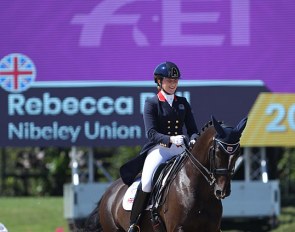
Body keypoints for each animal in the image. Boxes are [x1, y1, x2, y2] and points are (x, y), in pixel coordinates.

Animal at [82, 116, 249, 232]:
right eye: (217, 152)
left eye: (237, 153)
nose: (222, 191)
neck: (197, 187)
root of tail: (109, 192)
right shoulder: (179, 228)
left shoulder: (212, 228)